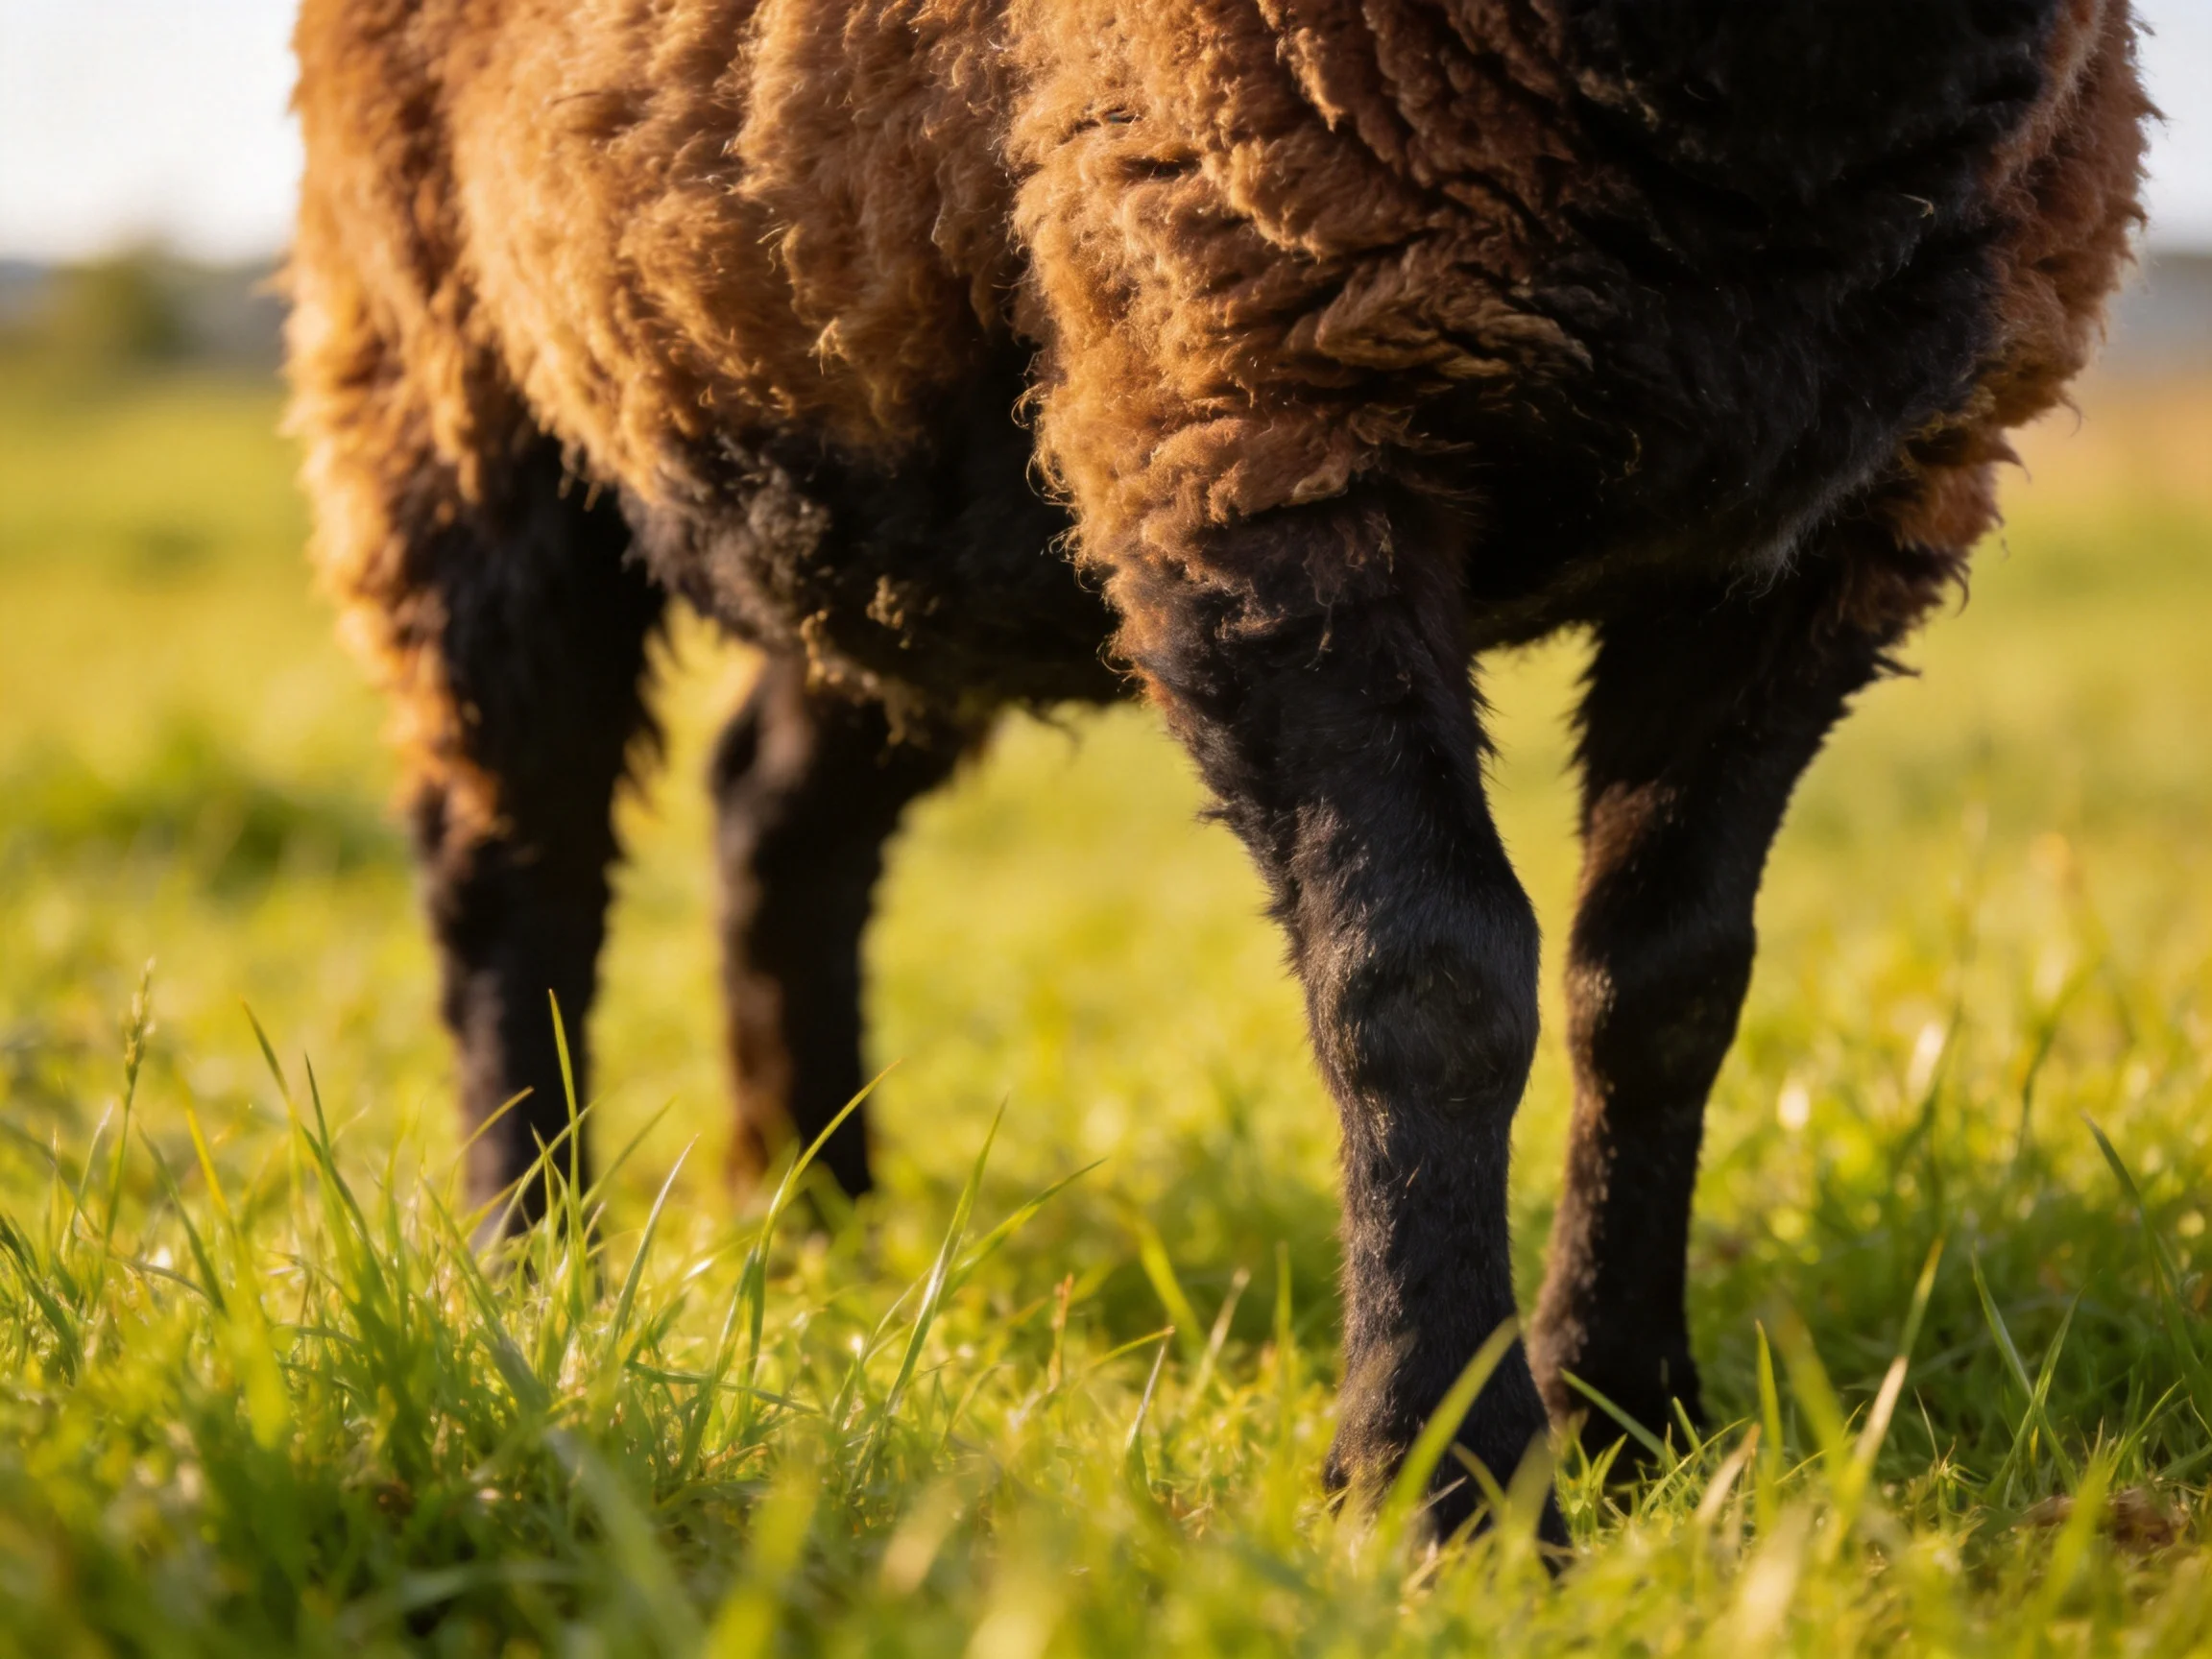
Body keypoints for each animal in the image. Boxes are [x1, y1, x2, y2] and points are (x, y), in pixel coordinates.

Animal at [286, 0, 2149, 1538]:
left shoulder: (1844, 525)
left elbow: (1668, 985)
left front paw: (1631, 1417)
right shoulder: (1262, 410)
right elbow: (1426, 980)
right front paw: (1443, 1483)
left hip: (885, 486)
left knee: (776, 812)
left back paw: (821, 1219)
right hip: (442, 364)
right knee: (514, 858)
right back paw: (533, 1266)